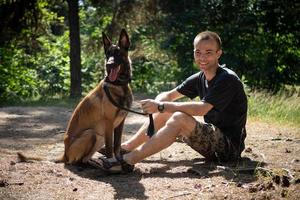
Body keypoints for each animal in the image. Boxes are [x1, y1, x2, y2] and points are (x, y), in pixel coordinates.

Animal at [17, 29, 132, 164]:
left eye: (118, 53)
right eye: (108, 54)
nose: (108, 65)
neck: (119, 85)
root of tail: (65, 153)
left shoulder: (120, 123)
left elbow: (117, 145)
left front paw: (119, 160)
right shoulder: (109, 123)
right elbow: (110, 147)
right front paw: (111, 161)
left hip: (99, 137)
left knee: (84, 159)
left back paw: (93, 162)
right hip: (91, 134)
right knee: (77, 161)